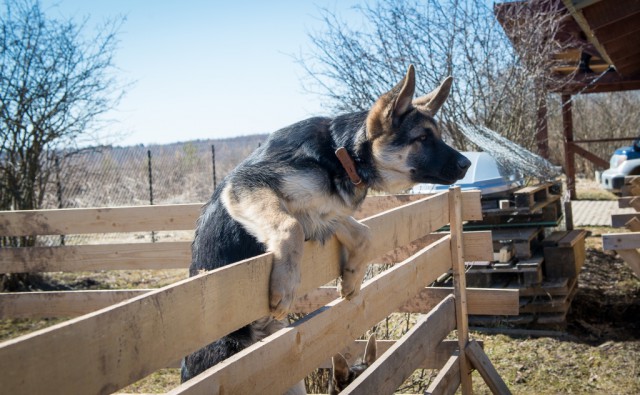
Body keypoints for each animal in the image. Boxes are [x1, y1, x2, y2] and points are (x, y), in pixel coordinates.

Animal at [180, 65, 470, 386]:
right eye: (422, 138)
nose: (467, 164)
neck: (341, 153)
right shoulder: (246, 185)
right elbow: (289, 226)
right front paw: (285, 286)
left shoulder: (323, 214)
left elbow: (364, 233)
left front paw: (352, 279)